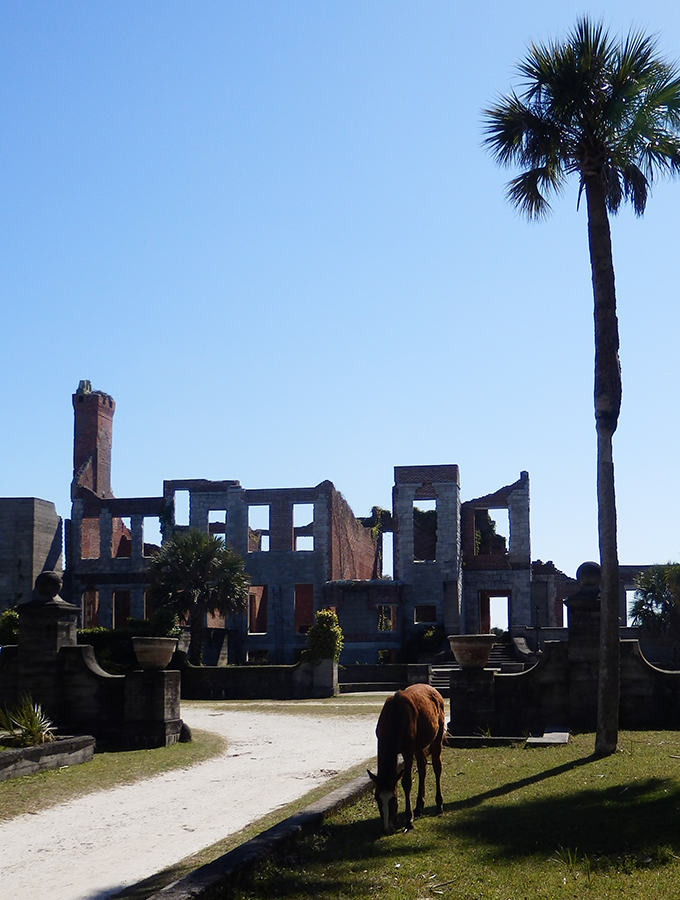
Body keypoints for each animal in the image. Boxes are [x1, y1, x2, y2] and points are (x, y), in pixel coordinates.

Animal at [366, 684, 446, 836]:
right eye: (377, 798)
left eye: (393, 799)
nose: (386, 829)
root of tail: (434, 690)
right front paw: (396, 818)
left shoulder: (408, 750)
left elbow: (406, 782)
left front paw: (409, 821)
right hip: (419, 745)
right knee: (422, 766)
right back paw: (419, 806)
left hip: (437, 736)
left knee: (437, 766)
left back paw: (439, 805)